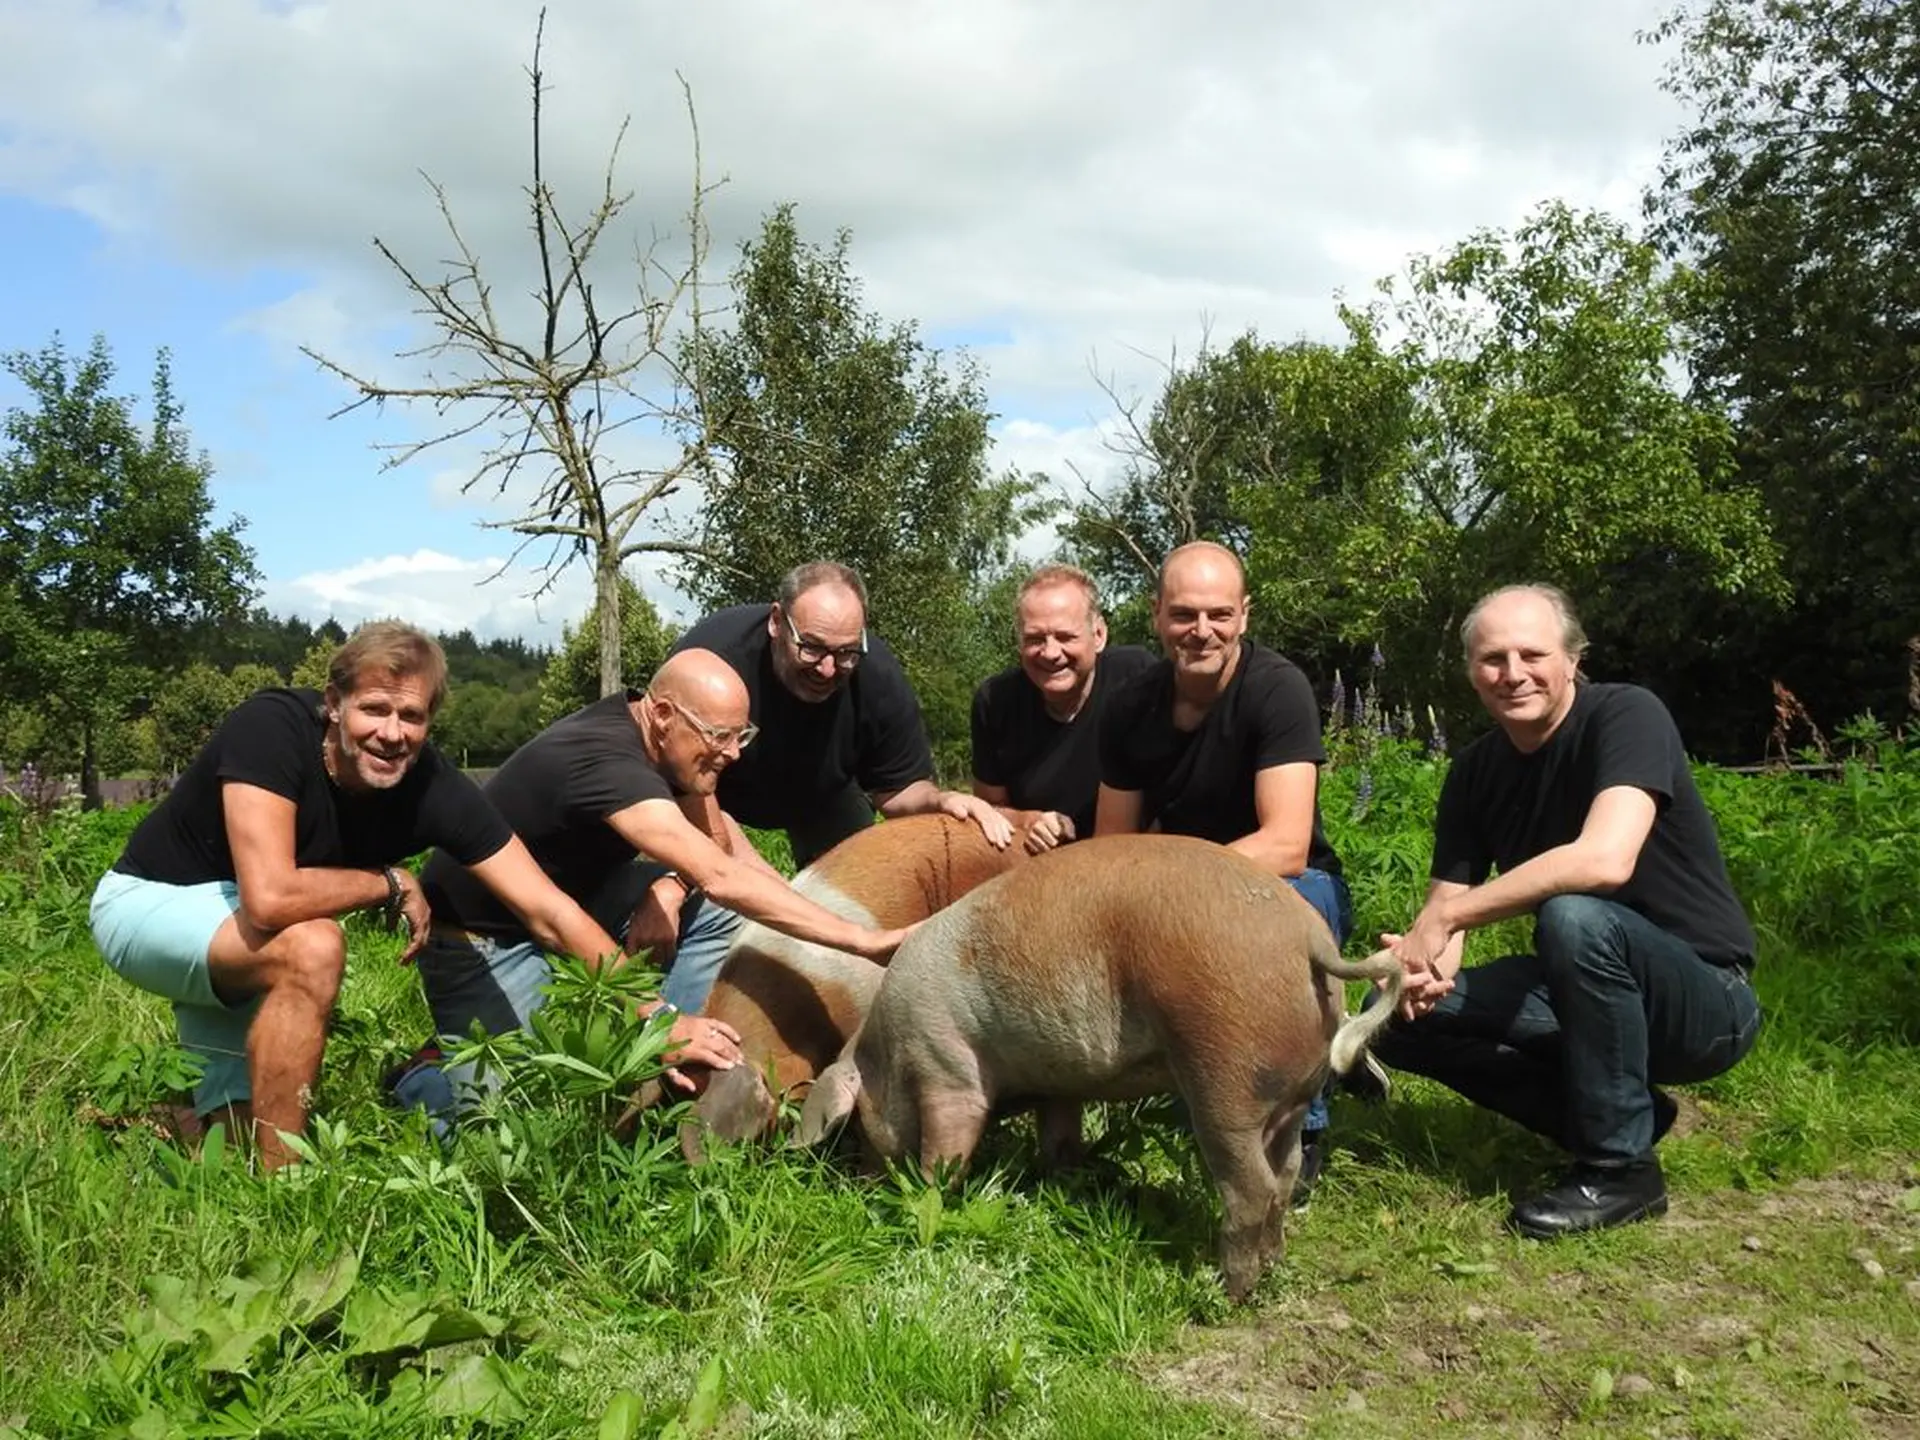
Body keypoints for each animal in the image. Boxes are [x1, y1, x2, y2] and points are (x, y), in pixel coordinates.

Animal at [794, 832, 1405, 1302]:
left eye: (856, 1124)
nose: (861, 1184)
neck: (884, 1048)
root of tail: (1310, 943)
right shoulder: (1057, 1085)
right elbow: (1061, 1138)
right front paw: (1061, 1184)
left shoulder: (945, 1063)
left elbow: (947, 1147)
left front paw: (924, 1199)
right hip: (1292, 1094)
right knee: (1285, 1173)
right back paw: (1273, 1266)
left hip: (1225, 1074)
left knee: (1249, 1187)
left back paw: (1222, 1291)